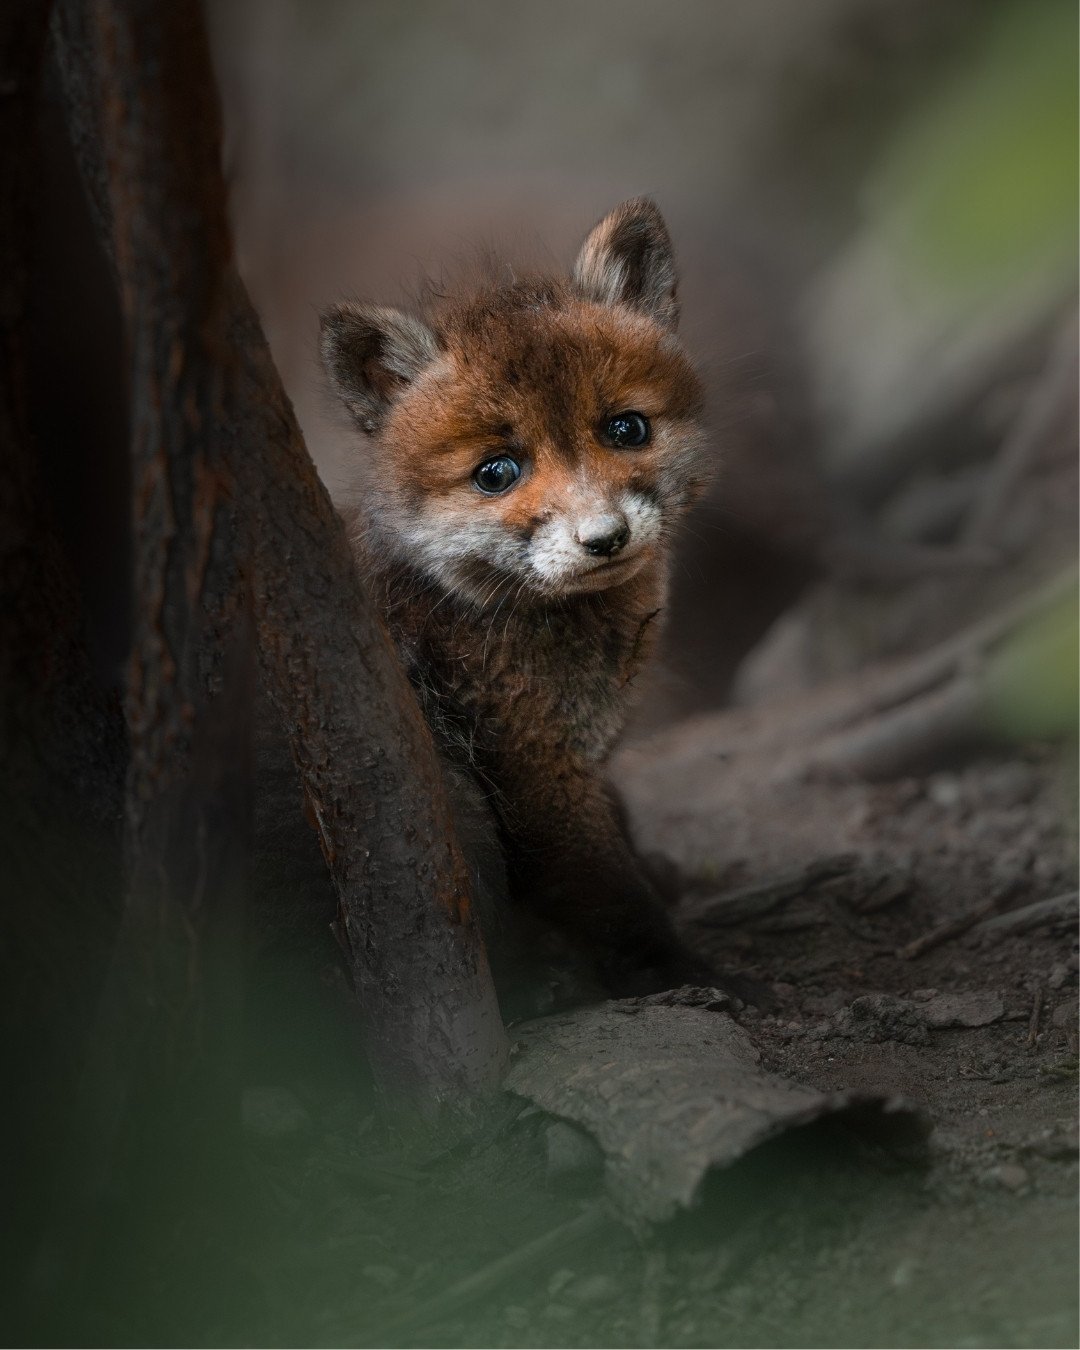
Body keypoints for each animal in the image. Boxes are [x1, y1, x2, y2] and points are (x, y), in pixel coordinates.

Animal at [320, 198, 716, 1000]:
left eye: (626, 428)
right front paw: (684, 972)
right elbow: (617, 899)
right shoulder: (533, 772)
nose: (605, 538)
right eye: (496, 473)